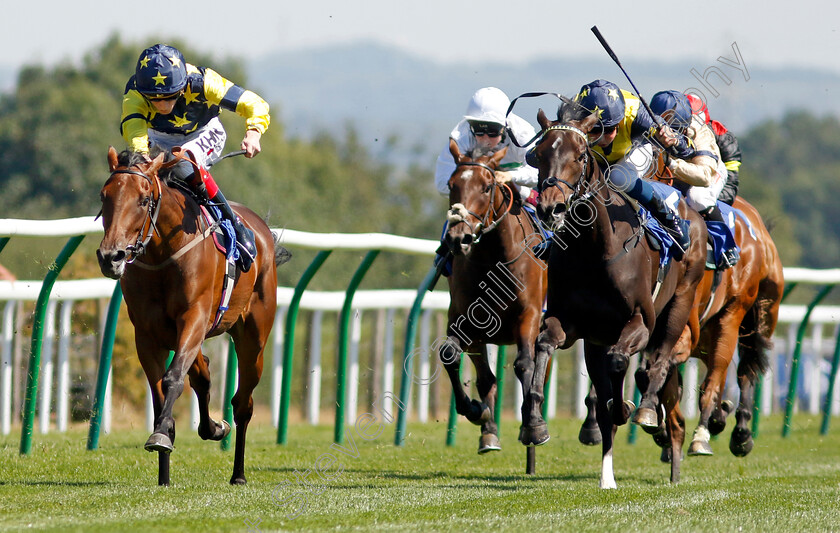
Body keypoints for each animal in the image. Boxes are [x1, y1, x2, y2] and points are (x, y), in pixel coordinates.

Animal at [97, 148, 284, 484]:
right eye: (104, 197)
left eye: (143, 200)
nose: (110, 256)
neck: (164, 255)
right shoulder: (147, 334)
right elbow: (161, 389)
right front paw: (164, 461)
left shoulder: (194, 318)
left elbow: (173, 379)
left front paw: (161, 435)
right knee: (203, 374)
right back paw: (212, 429)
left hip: (253, 338)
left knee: (243, 402)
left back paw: (238, 472)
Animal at [442, 140, 548, 454]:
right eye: (452, 184)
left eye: (487, 186)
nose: (458, 238)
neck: (494, 260)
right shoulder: (465, 320)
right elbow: (449, 355)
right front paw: (478, 412)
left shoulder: (530, 315)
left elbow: (525, 364)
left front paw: (532, 425)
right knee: (487, 377)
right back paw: (488, 430)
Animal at [528, 105, 704, 486]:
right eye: (539, 153)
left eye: (580, 155)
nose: (551, 208)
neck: (593, 250)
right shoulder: (572, 324)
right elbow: (544, 346)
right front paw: (535, 425)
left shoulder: (640, 321)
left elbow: (621, 363)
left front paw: (629, 407)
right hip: (596, 340)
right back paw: (608, 475)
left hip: (679, 303)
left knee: (660, 361)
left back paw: (652, 418)